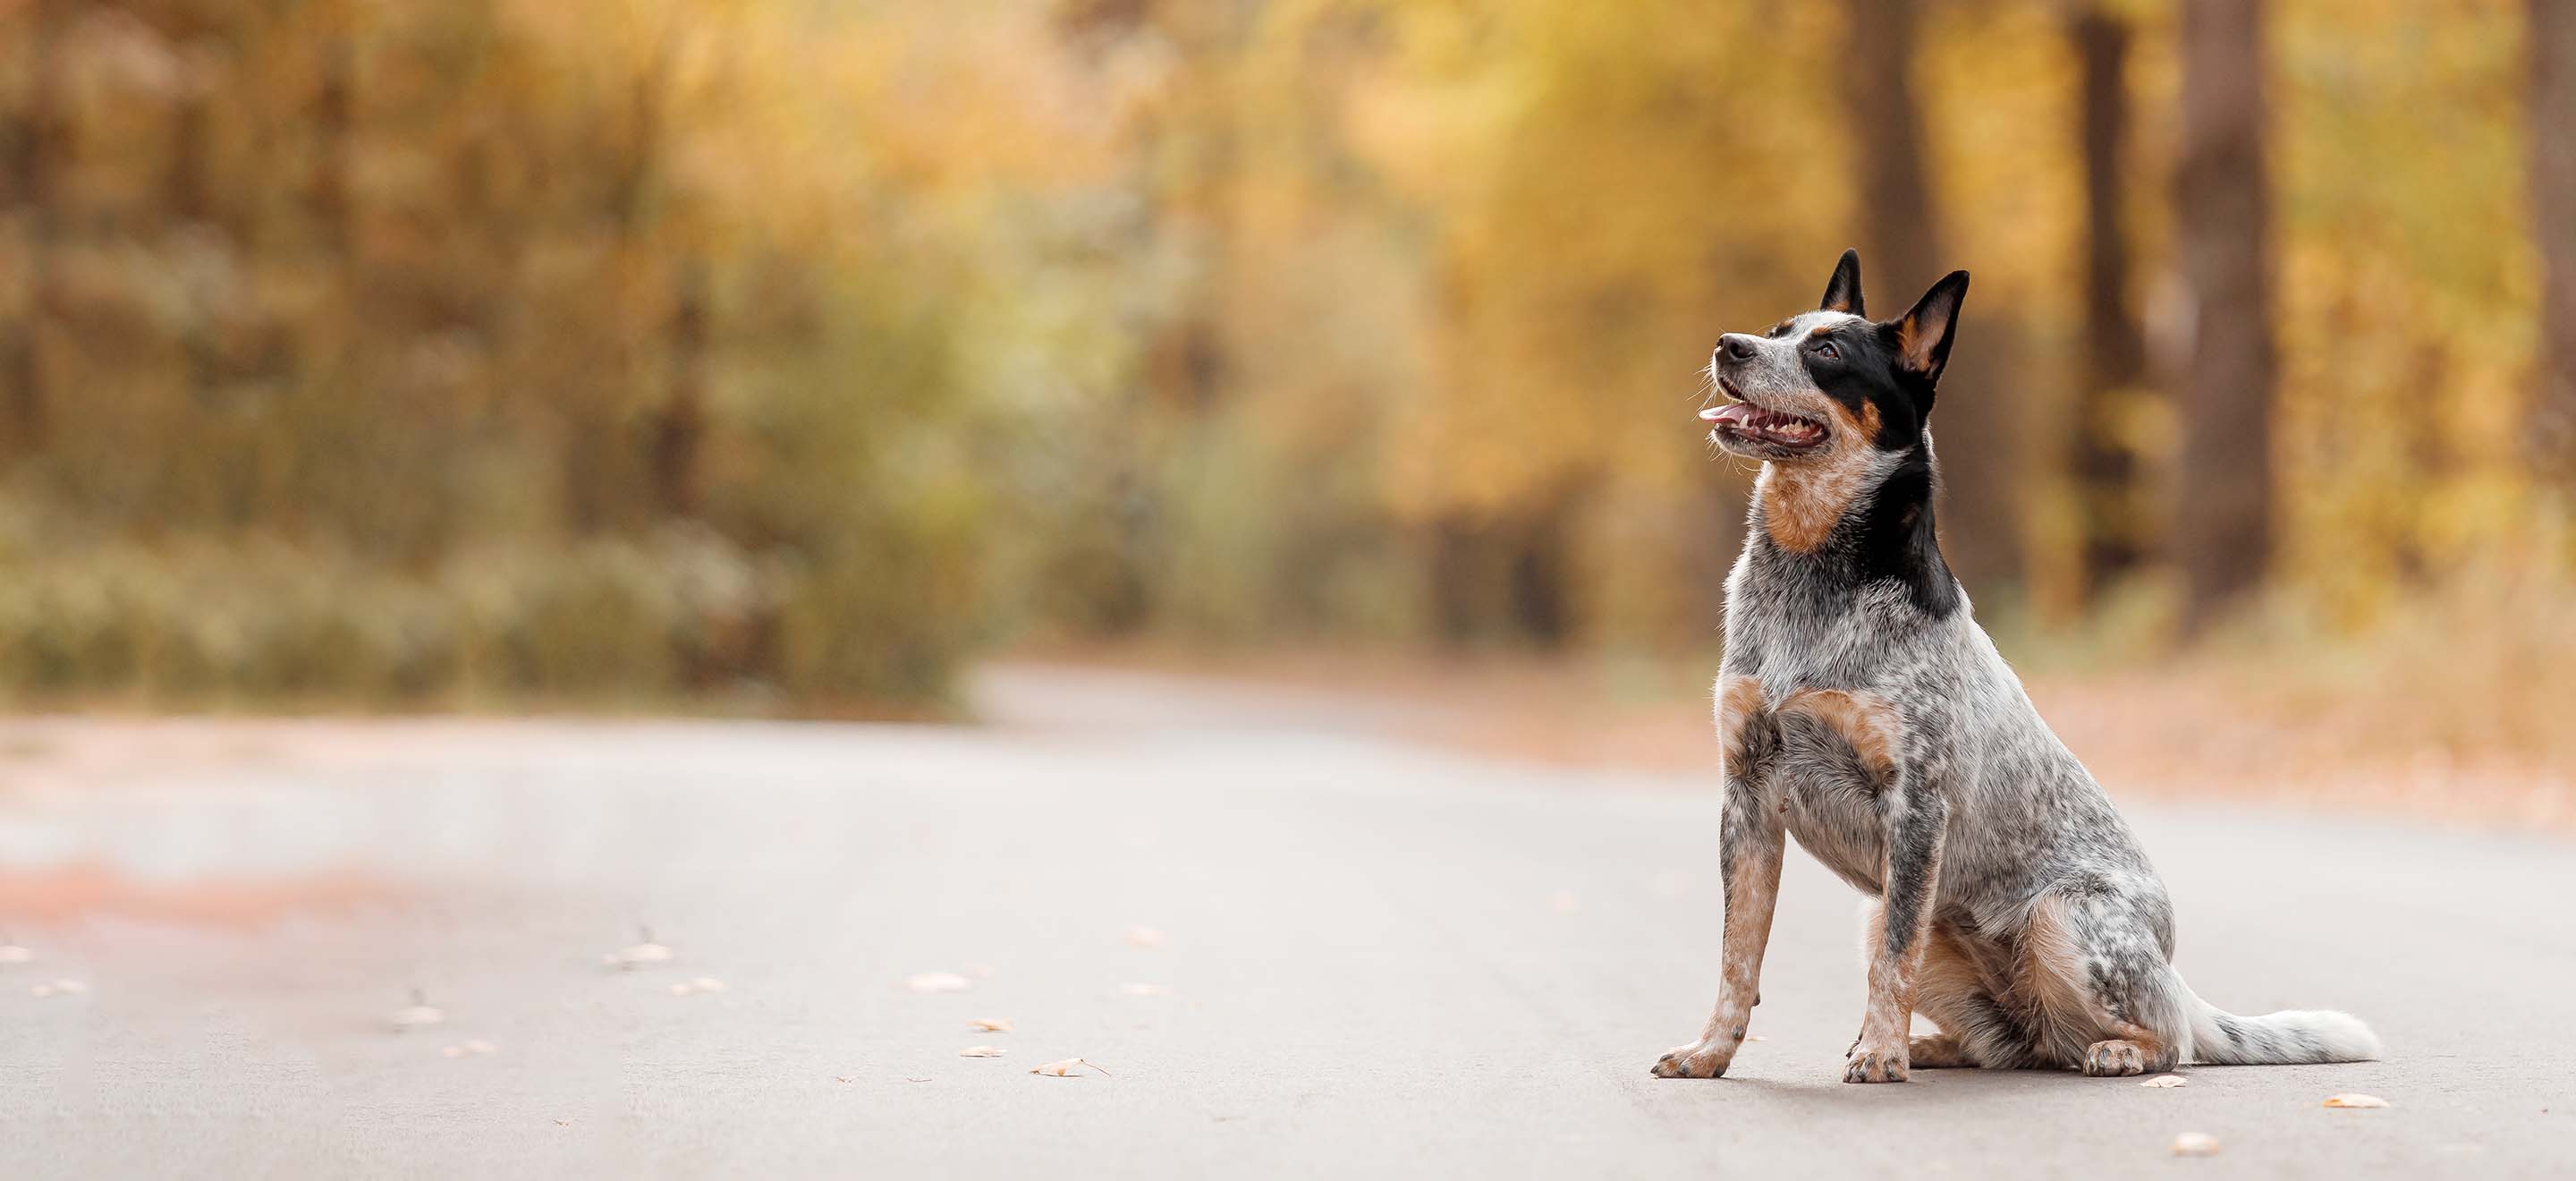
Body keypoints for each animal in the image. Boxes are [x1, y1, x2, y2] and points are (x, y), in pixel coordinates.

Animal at [1648, 253, 2369, 1083]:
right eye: (1776, 330)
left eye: (1826, 352)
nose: (1728, 345)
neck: (1812, 578)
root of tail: (2180, 983)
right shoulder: (1748, 792)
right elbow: (1739, 953)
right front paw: (1711, 1051)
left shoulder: (1917, 806)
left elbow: (1893, 959)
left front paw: (1880, 1056)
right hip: (1884, 914)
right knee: (2010, 1044)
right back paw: (1930, 1045)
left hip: (2066, 919)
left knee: (2169, 1041)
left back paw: (2111, 1049)